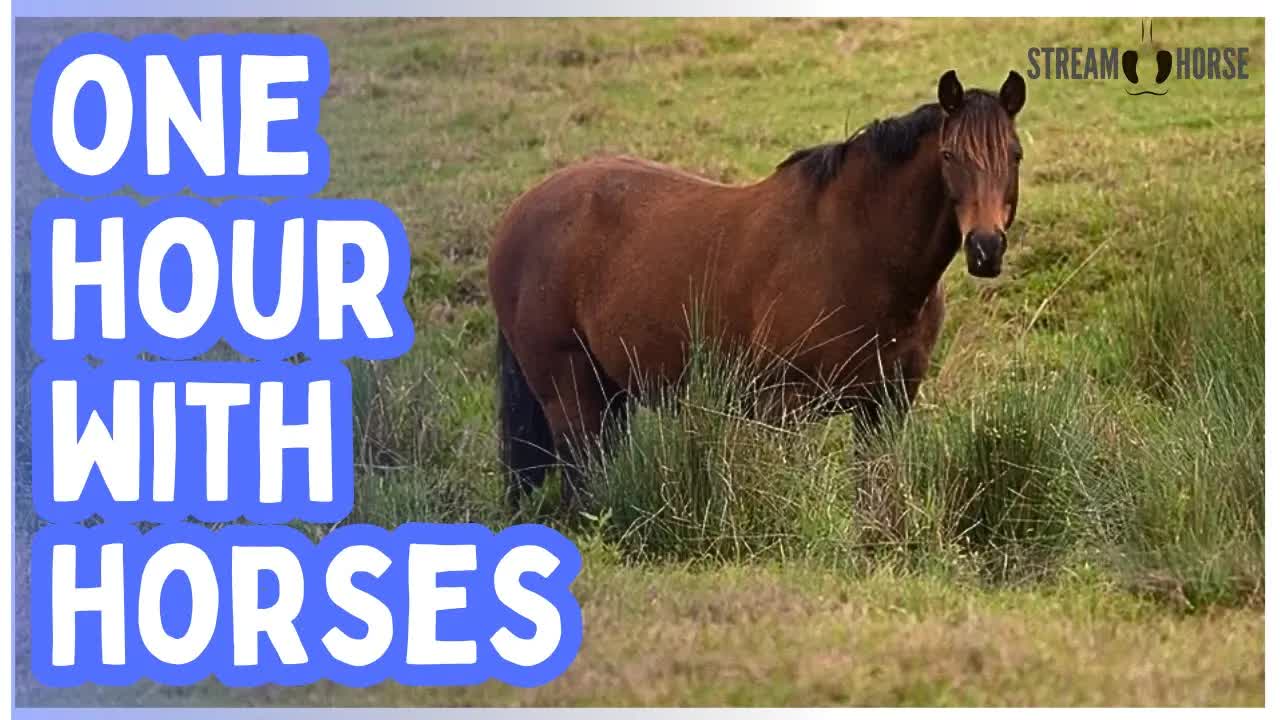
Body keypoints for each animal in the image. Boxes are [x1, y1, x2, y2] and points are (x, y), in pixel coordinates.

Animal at [488, 69, 1027, 510]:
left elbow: (874, 491)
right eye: (949, 155)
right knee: (581, 477)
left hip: (609, 390)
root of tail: (521, 210)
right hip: (568, 389)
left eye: (1015, 155)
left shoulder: (887, 404)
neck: (858, 251)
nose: (985, 248)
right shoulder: (783, 407)